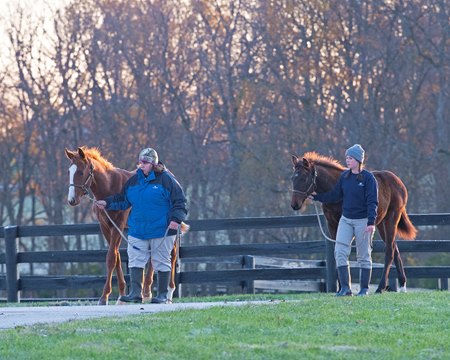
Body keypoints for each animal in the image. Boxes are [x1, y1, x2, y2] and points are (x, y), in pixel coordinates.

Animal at [64, 146, 179, 304]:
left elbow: (111, 257)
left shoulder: (118, 225)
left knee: (172, 255)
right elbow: (117, 257)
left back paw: (168, 293)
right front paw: (122, 294)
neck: (110, 187)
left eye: (81, 172)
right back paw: (146, 291)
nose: (72, 200)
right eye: (69, 172)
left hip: (169, 229)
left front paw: (104, 296)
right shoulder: (106, 227)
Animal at [290, 151, 416, 292]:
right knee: (395, 248)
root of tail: (398, 182)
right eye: (292, 178)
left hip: (391, 219)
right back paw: (402, 285)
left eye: (304, 179)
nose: (294, 205)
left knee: (389, 250)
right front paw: (341, 288)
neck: (336, 188)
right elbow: (337, 252)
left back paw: (381, 287)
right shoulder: (332, 225)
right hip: (380, 224)